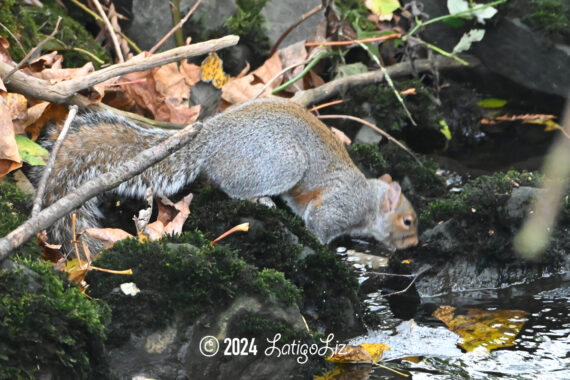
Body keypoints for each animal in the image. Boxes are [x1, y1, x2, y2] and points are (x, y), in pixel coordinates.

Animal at [36, 98, 418, 252]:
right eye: (408, 221)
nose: (414, 244)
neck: (370, 200)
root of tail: (210, 139)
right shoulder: (340, 207)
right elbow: (321, 225)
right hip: (283, 163)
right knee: (233, 188)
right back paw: (262, 200)